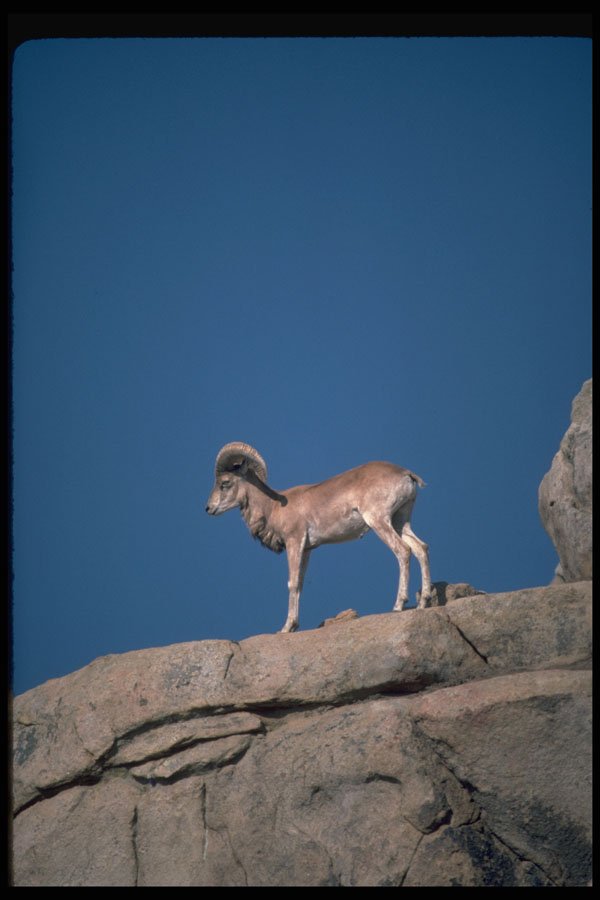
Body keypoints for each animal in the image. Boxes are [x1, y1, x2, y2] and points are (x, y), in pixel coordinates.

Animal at [205, 442, 432, 633]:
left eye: (225, 483)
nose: (208, 508)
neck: (274, 507)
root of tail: (405, 474)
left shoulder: (294, 542)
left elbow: (292, 583)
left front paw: (285, 628)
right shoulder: (307, 550)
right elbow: (300, 584)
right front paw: (293, 626)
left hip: (378, 521)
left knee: (403, 551)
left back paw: (398, 605)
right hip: (400, 521)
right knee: (421, 548)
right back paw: (423, 602)